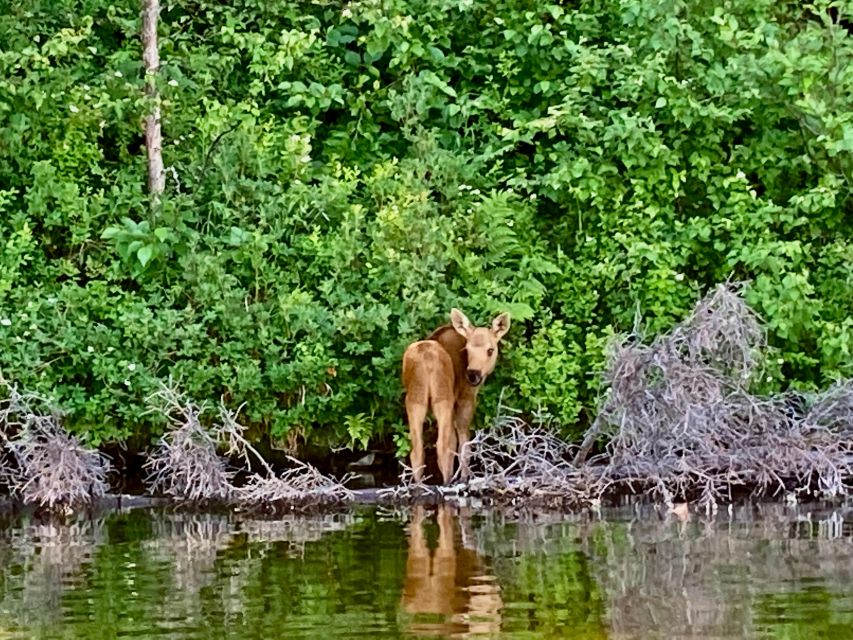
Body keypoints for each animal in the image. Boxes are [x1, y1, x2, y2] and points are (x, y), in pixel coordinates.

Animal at [402, 310, 510, 484]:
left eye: (490, 350)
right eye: (467, 349)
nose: (473, 374)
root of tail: (426, 360)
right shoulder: (466, 398)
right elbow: (463, 442)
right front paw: (464, 477)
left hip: (414, 401)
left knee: (417, 450)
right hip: (443, 399)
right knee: (443, 446)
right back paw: (448, 482)